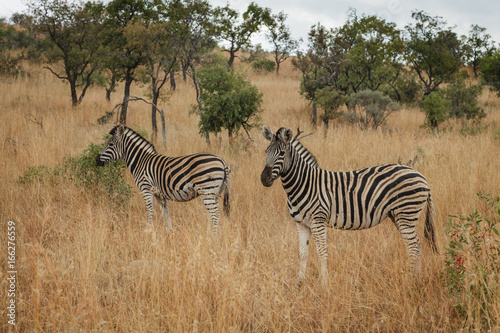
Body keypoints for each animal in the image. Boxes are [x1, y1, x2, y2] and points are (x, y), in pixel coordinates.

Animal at [95, 124, 230, 231]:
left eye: (110, 144)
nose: (96, 160)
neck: (140, 161)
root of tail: (222, 161)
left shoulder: (146, 189)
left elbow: (150, 212)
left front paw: (149, 232)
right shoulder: (159, 194)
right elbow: (165, 213)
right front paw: (170, 232)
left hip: (207, 189)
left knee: (215, 214)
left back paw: (213, 237)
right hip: (216, 191)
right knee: (213, 213)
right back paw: (208, 233)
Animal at [262, 124, 438, 286]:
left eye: (282, 153)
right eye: (266, 152)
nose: (264, 179)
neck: (304, 184)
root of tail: (422, 176)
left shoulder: (318, 221)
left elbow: (321, 252)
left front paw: (324, 285)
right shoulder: (301, 223)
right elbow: (303, 253)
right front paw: (299, 283)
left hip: (406, 214)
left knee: (414, 247)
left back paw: (412, 282)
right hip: (398, 216)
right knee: (415, 245)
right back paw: (415, 279)